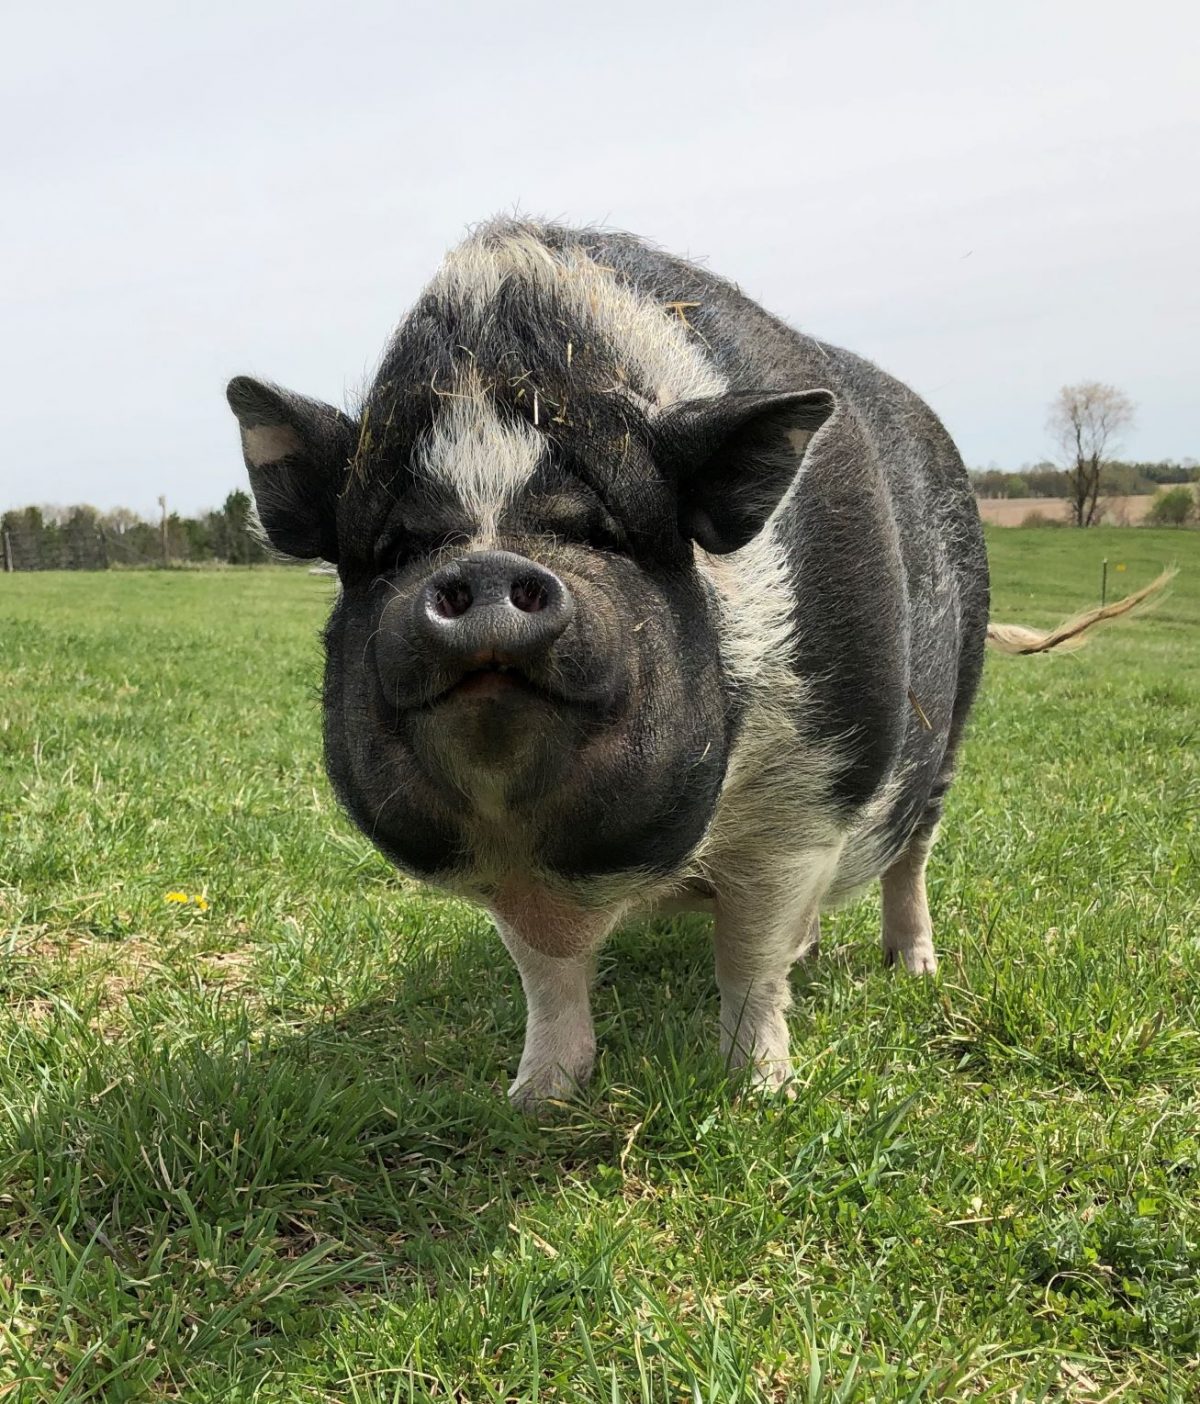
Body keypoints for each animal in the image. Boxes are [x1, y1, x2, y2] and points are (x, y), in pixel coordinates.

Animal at [224, 221, 1117, 1106]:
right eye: (400, 548)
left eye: (603, 532)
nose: (483, 570)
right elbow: (547, 975)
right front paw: (537, 1099)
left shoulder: (804, 806)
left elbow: (747, 957)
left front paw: (761, 1090)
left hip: (952, 722)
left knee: (912, 857)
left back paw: (912, 970)